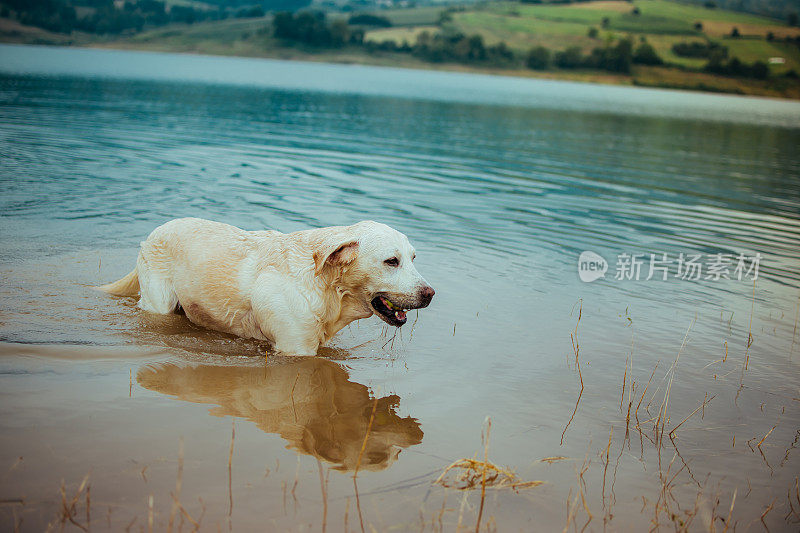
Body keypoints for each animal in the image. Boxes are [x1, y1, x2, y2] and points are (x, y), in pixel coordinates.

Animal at [100, 218, 438, 356]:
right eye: (391, 261)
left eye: (413, 258)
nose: (430, 294)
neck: (323, 286)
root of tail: (156, 230)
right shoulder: (295, 349)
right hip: (159, 304)